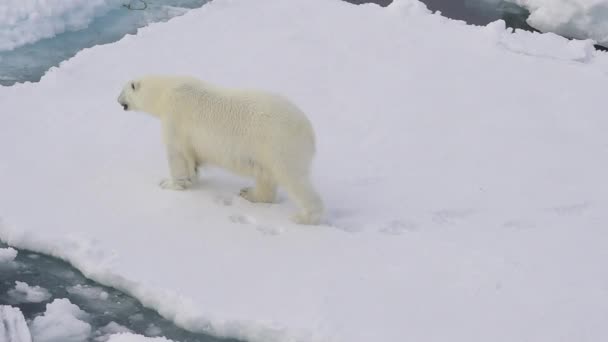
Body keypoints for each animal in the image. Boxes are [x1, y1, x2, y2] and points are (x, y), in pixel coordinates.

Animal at [115, 75, 324, 224]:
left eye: (123, 90)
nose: (117, 100)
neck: (165, 92)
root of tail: (309, 132)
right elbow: (192, 158)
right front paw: (193, 176)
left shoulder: (175, 117)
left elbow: (177, 154)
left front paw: (169, 183)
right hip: (265, 152)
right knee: (266, 176)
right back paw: (249, 193)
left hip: (280, 145)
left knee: (294, 179)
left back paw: (305, 217)